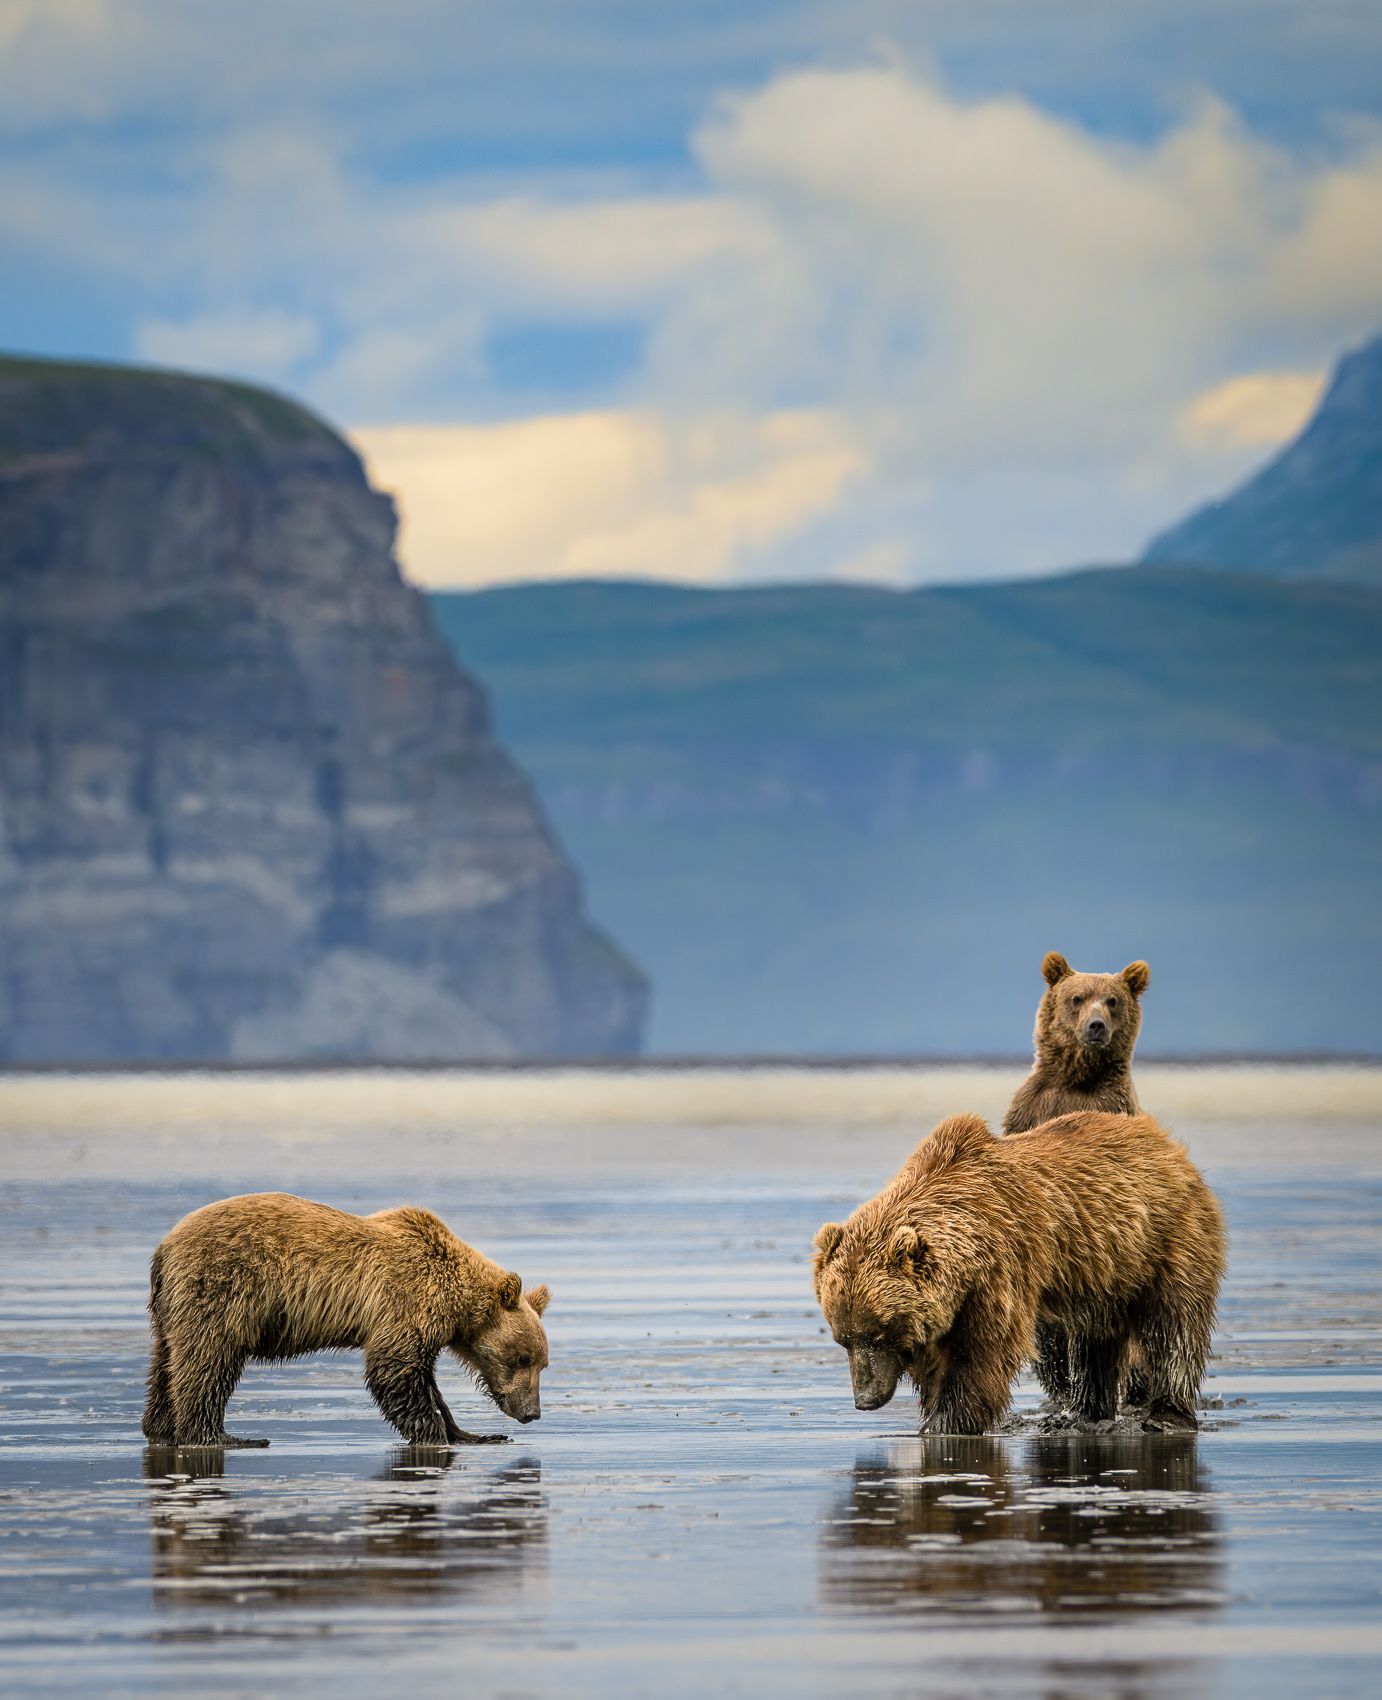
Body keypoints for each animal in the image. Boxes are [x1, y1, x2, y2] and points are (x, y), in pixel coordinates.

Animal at [141, 1192, 550, 1449]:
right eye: (523, 1358)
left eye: (543, 1363)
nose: (532, 1413)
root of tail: (164, 1247)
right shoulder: (404, 1302)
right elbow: (394, 1372)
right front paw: (433, 1434)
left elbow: (426, 1380)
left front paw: (472, 1434)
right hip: (222, 1288)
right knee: (209, 1359)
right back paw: (224, 1437)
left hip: (171, 1309)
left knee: (166, 1361)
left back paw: (161, 1429)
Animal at [812, 1110, 1224, 1435]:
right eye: (843, 1339)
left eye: (879, 1334)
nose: (865, 1399)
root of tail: (1168, 1145)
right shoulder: (945, 1303)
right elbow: (936, 1360)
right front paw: (933, 1412)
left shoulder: (996, 1271)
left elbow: (983, 1354)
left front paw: (946, 1423)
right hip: (1103, 1272)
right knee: (1093, 1339)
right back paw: (1085, 1412)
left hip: (1168, 1239)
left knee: (1174, 1325)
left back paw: (1166, 1414)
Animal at [1003, 951, 1151, 1406]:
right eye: (1077, 998)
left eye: (1112, 1000)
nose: (1096, 1025)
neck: (1076, 1080)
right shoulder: (1032, 1109)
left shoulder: (1110, 1108)